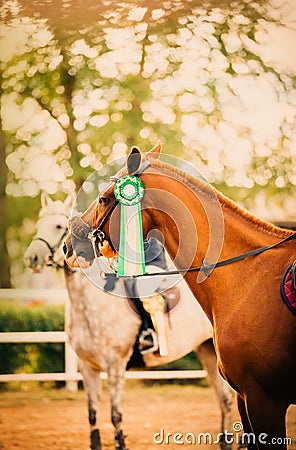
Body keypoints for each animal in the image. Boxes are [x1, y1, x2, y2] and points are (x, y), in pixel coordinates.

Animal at [24, 192, 238, 450]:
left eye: (58, 226)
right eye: (38, 224)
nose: (32, 258)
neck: (91, 301)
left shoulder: (115, 367)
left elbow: (116, 415)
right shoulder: (87, 367)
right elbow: (92, 415)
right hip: (206, 349)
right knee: (224, 399)